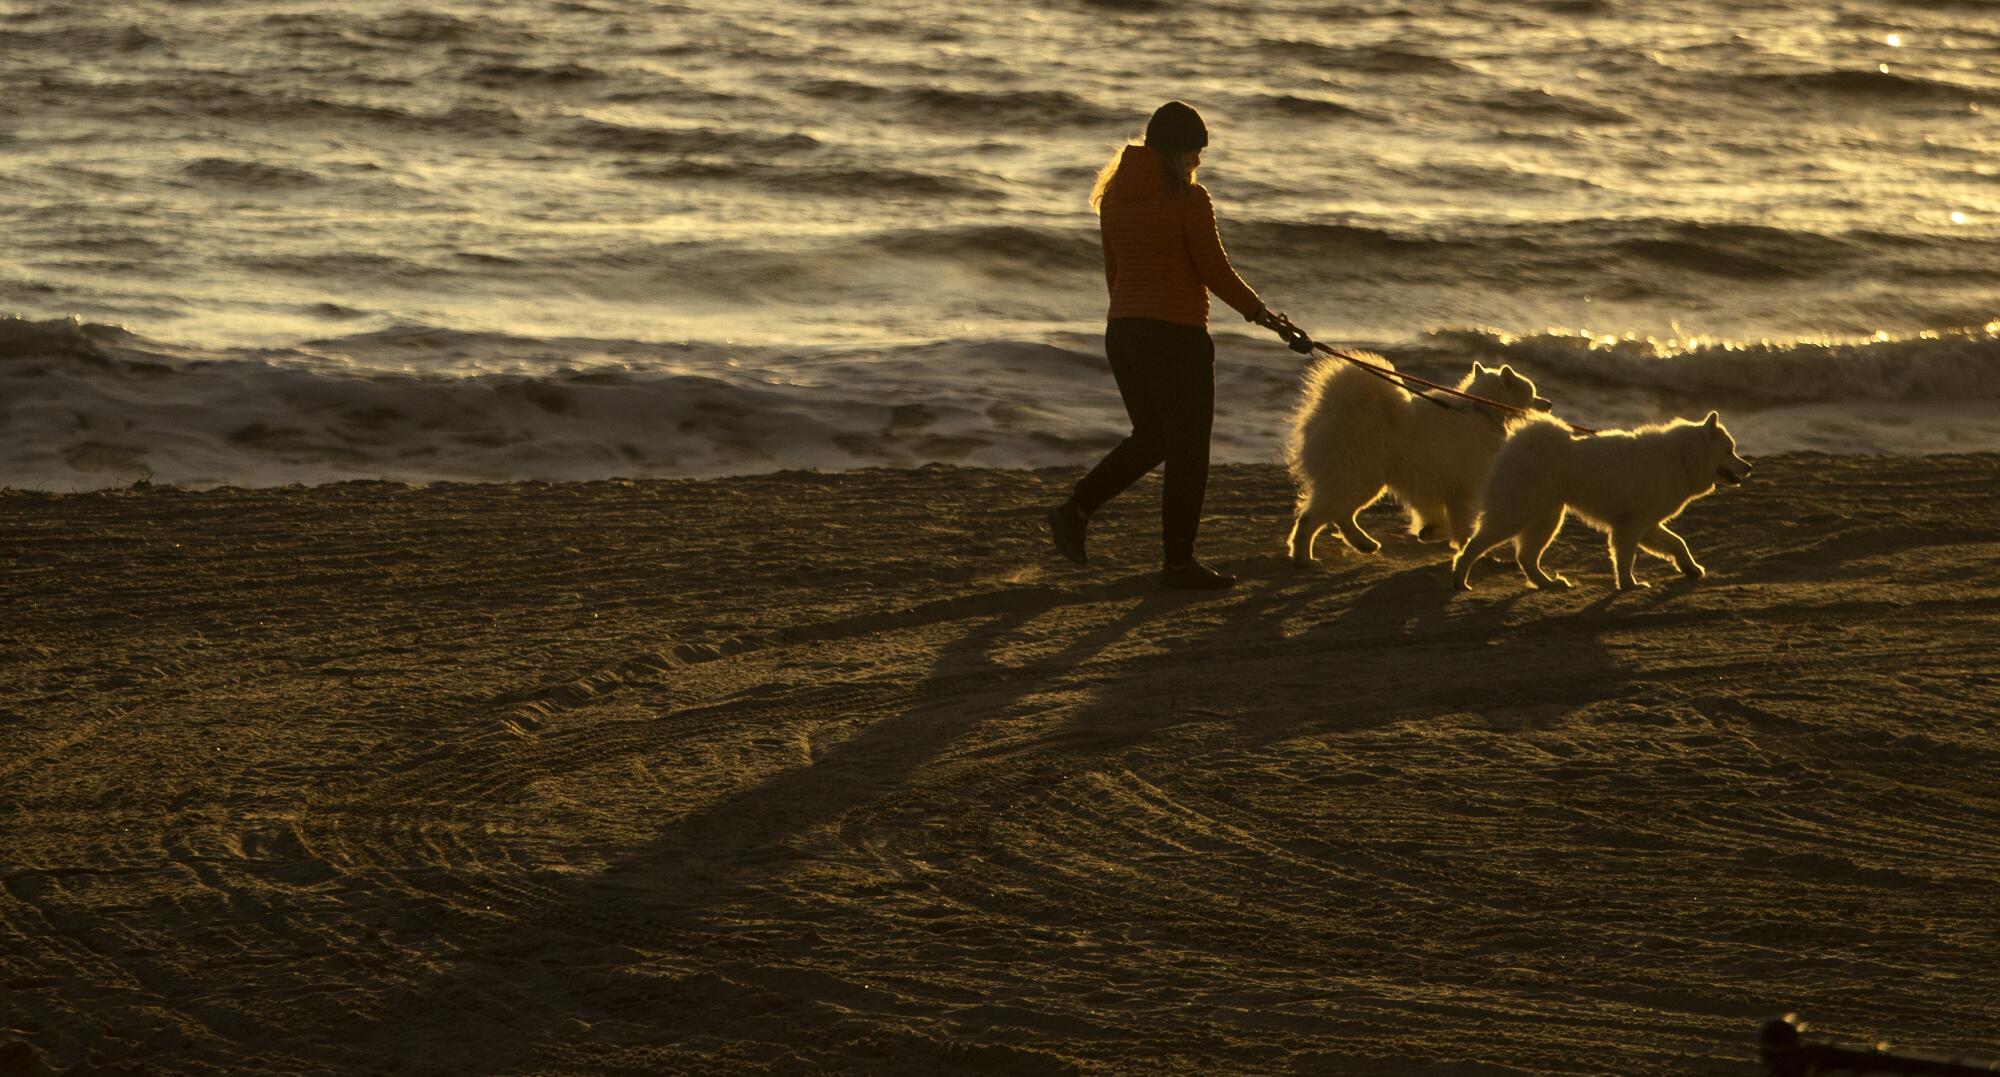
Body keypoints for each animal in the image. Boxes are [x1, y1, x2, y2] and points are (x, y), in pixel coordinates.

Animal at [1288, 350, 1552, 560]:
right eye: (1532, 394)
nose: (1548, 403)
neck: (1482, 411)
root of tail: (1332, 410)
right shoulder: (1462, 489)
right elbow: (1461, 524)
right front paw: (1462, 545)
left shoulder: (1430, 486)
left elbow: (1436, 517)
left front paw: (1431, 532)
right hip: (1358, 478)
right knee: (1312, 518)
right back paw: (1304, 557)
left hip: (1362, 481)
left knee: (1341, 514)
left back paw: (1363, 544)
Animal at [1456, 406, 1752, 592]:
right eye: (1729, 451)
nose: (1749, 467)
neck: (1681, 458)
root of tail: (1518, 444)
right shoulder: (1631, 526)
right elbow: (1626, 558)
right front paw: (1629, 585)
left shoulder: (1647, 525)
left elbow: (1678, 543)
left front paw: (1690, 568)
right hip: (1517, 513)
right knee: (1473, 546)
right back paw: (1460, 579)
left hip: (1547, 517)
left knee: (1526, 557)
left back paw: (1548, 583)